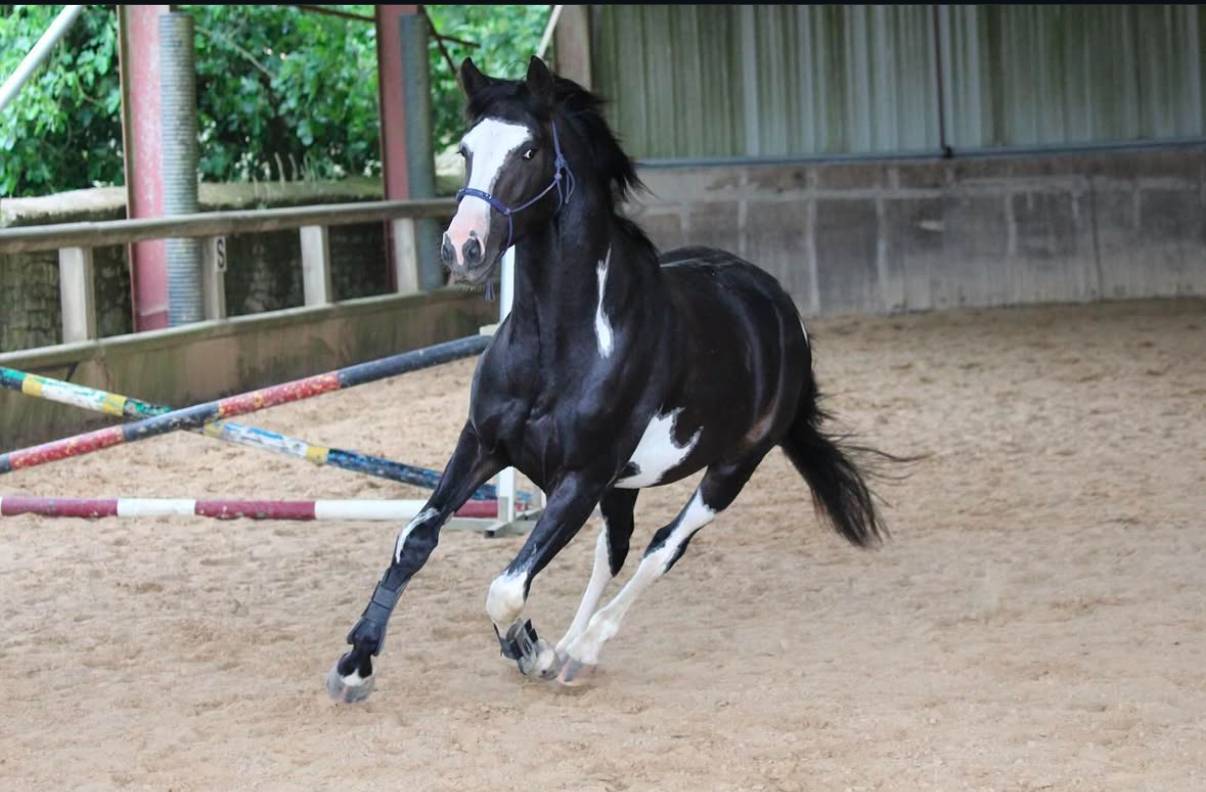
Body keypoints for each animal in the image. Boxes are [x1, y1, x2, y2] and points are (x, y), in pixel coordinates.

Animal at [326, 56, 889, 702]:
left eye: (528, 151)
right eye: (466, 150)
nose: (462, 248)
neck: (560, 348)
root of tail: (778, 306)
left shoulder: (582, 477)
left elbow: (508, 587)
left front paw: (529, 649)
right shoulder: (484, 446)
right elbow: (415, 540)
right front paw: (355, 665)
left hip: (732, 467)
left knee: (662, 547)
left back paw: (579, 650)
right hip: (625, 483)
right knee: (615, 548)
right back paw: (570, 648)